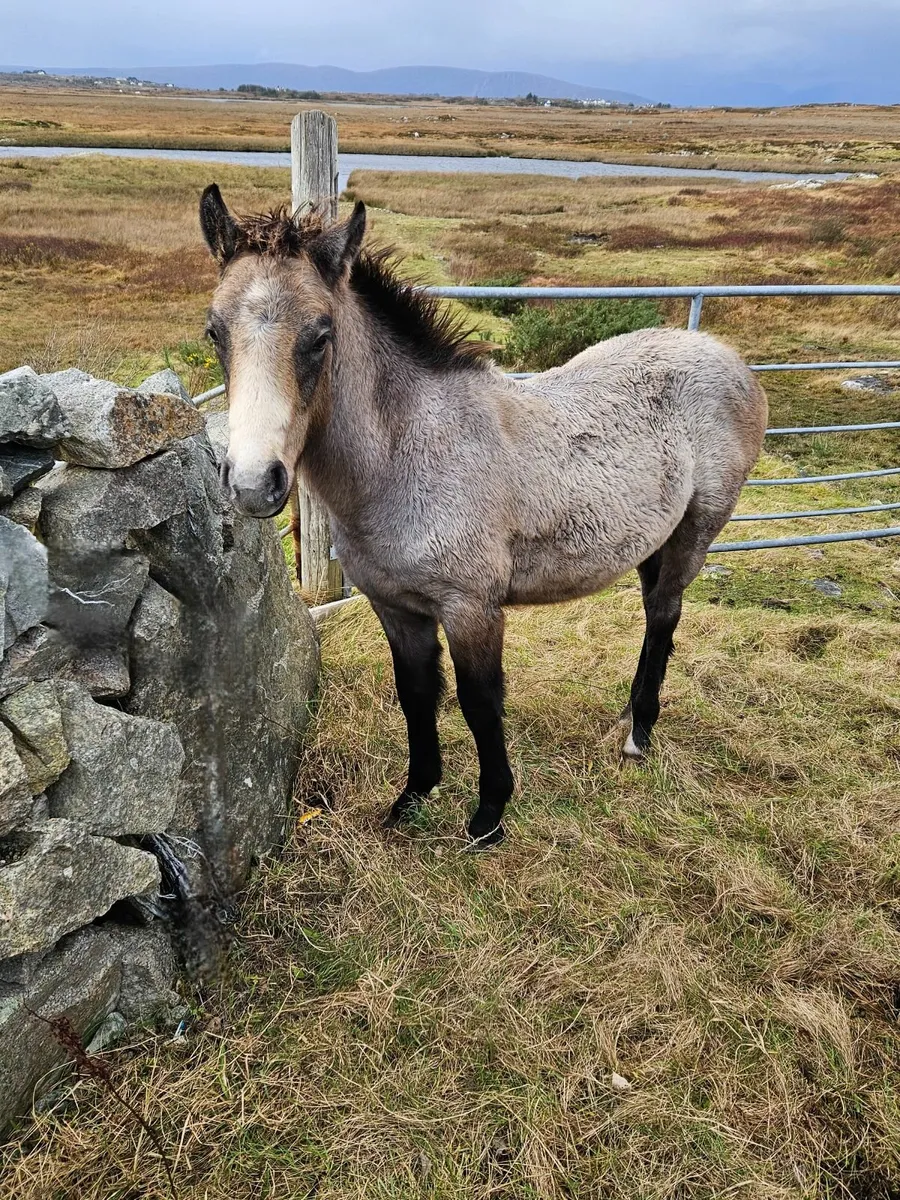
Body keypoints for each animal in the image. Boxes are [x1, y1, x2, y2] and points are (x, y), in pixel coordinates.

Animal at [199, 184, 768, 847]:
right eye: (215, 332)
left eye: (320, 335)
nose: (252, 483)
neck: (407, 457)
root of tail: (726, 356)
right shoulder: (396, 607)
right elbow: (416, 695)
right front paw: (412, 798)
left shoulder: (472, 608)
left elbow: (479, 702)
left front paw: (489, 816)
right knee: (657, 619)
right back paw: (627, 718)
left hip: (695, 533)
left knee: (665, 616)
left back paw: (638, 735)